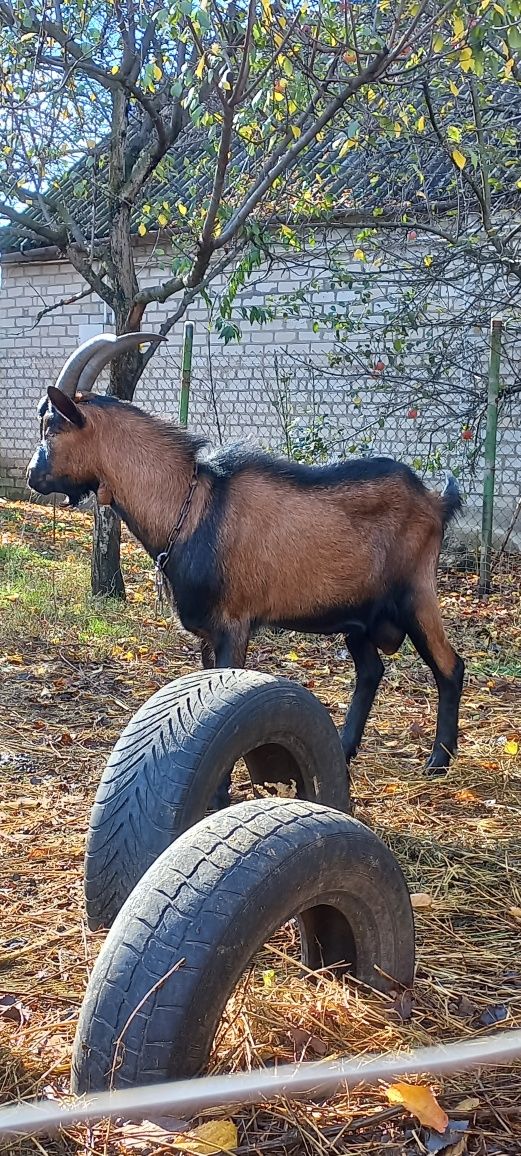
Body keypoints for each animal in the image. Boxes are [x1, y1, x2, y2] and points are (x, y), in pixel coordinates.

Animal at [27, 335, 464, 804]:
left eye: (51, 426)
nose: (33, 476)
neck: (191, 506)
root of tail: (435, 500)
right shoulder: (205, 632)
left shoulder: (232, 626)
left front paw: (217, 796)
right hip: (357, 616)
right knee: (371, 671)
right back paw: (345, 751)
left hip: (416, 596)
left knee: (449, 666)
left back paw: (438, 761)